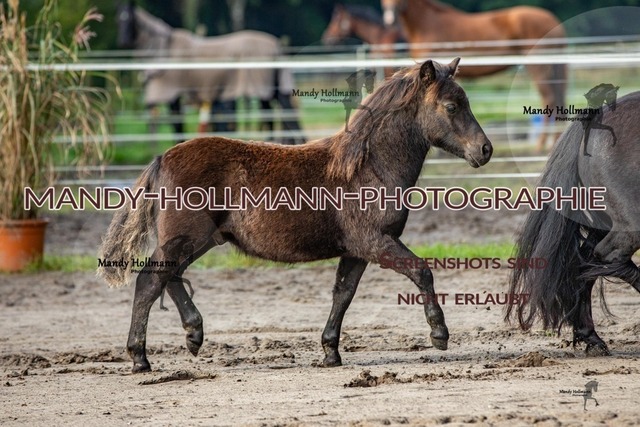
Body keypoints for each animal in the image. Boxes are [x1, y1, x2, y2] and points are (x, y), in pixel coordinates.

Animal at [97, 58, 493, 373]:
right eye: (451, 106)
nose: (485, 149)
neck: (367, 167)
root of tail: (163, 158)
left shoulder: (356, 250)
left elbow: (343, 294)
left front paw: (330, 351)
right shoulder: (376, 242)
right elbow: (421, 271)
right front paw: (439, 333)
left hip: (199, 240)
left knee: (170, 276)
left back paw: (194, 334)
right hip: (185, 239)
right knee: (150, 281)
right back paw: (140, 358)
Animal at [116, 2, 304, 145]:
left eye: (130, 19)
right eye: (118, 19)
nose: (123, 42)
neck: (164, 49)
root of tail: (276, 45)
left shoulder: (173, 94)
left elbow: (177, 124)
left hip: (262, 88)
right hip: (271, 89)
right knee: (276, 116)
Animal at [381, 0, 567, 152]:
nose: (389, 19)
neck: (428, 23)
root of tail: (553, 21)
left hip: (539, 67)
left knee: (549, 98)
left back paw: (541, 145)